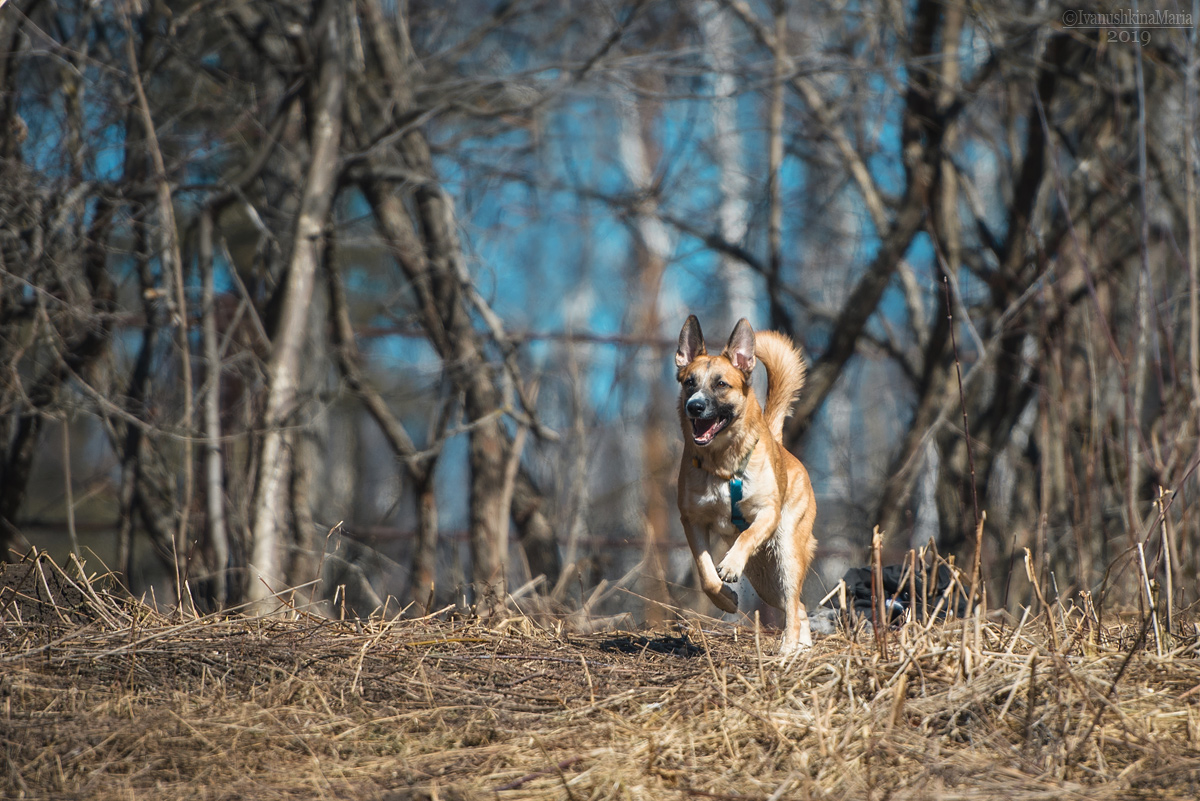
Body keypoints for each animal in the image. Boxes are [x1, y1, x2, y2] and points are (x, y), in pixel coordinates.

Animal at [676, 311, 816, 652]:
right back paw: (801, 648)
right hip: (765, 579)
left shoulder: (767, 513)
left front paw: (730, 565)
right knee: (797, 606)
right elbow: (706, 573)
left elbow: (747, 535)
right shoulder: (692, 521)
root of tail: (780, 445)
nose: (694, 406)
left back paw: (788, 648)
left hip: (787, 555)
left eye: (721, 384)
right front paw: (725, 598)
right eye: (689, 382)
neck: (723, 465)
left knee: (793, 602)